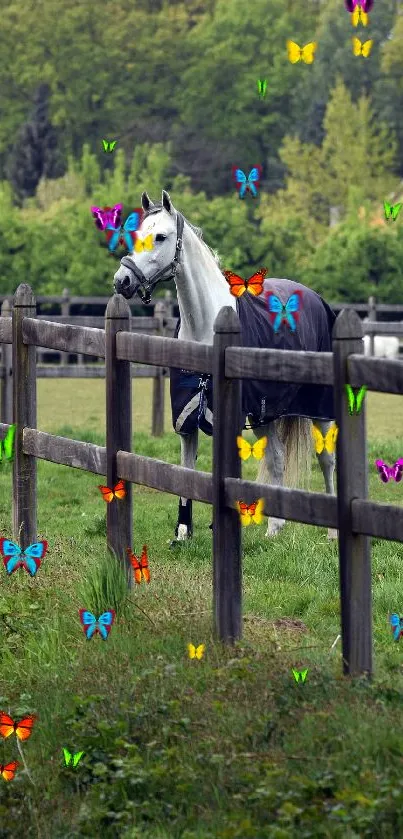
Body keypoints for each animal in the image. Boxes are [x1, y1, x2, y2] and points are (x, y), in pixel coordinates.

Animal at [113, 189, 338, 540]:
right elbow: (185, 471)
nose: (122, 280)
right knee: (276, 458)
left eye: (161, 236)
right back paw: (274, 529)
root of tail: (315, 298)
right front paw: (183, 532)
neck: (205, 327)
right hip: (264, 413)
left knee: (326, 458)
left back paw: (332, 533)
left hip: (318, 409)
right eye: (137, 236)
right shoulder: (186, 419)